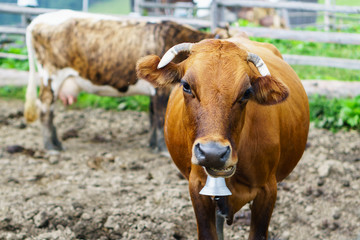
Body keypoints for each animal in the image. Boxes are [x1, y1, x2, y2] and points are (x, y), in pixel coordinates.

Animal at [23, 9, 228, 152]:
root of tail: (38, 20)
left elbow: (152, 115)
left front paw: (152, 144)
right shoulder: (162, 90)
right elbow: (160, 117)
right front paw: (162, 148)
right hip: (51, 77)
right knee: (45, 109)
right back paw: (51, 146)